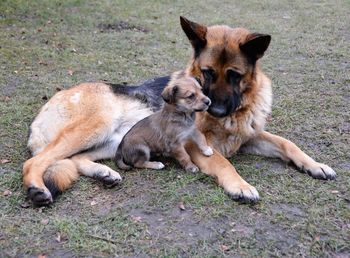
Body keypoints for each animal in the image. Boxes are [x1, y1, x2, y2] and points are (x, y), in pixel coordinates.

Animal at [23, 16, 334, 206]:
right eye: (207, 73)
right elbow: (224, 163)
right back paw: (37, 188)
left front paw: (315, 165)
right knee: (36, 162)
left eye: (234, 75)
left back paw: (104, 173)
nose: (215, 108)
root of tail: (49, 103)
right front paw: (240, 185)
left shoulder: (249, 137)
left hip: (112, 142)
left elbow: (287, 143)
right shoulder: (196, 144)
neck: (236, 113)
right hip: (95, 126)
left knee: (74, 160)